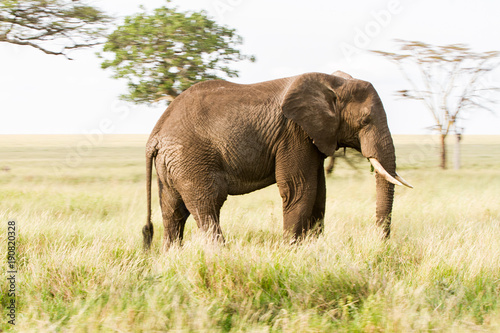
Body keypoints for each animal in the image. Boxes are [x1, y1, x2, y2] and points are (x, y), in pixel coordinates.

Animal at [143, 70, 412, 248]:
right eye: (365, 121)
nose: (382, 244)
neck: (333, 83)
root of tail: (155, 135)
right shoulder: (294, 132)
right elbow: (300, 188)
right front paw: (292, 250)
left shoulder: (311, 136)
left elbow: (319, 192)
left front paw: (311, 248)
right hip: (190, 158)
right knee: (207, 206)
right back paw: (220, 254)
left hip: (171, 165)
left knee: (173, 212)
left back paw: (172, 256)